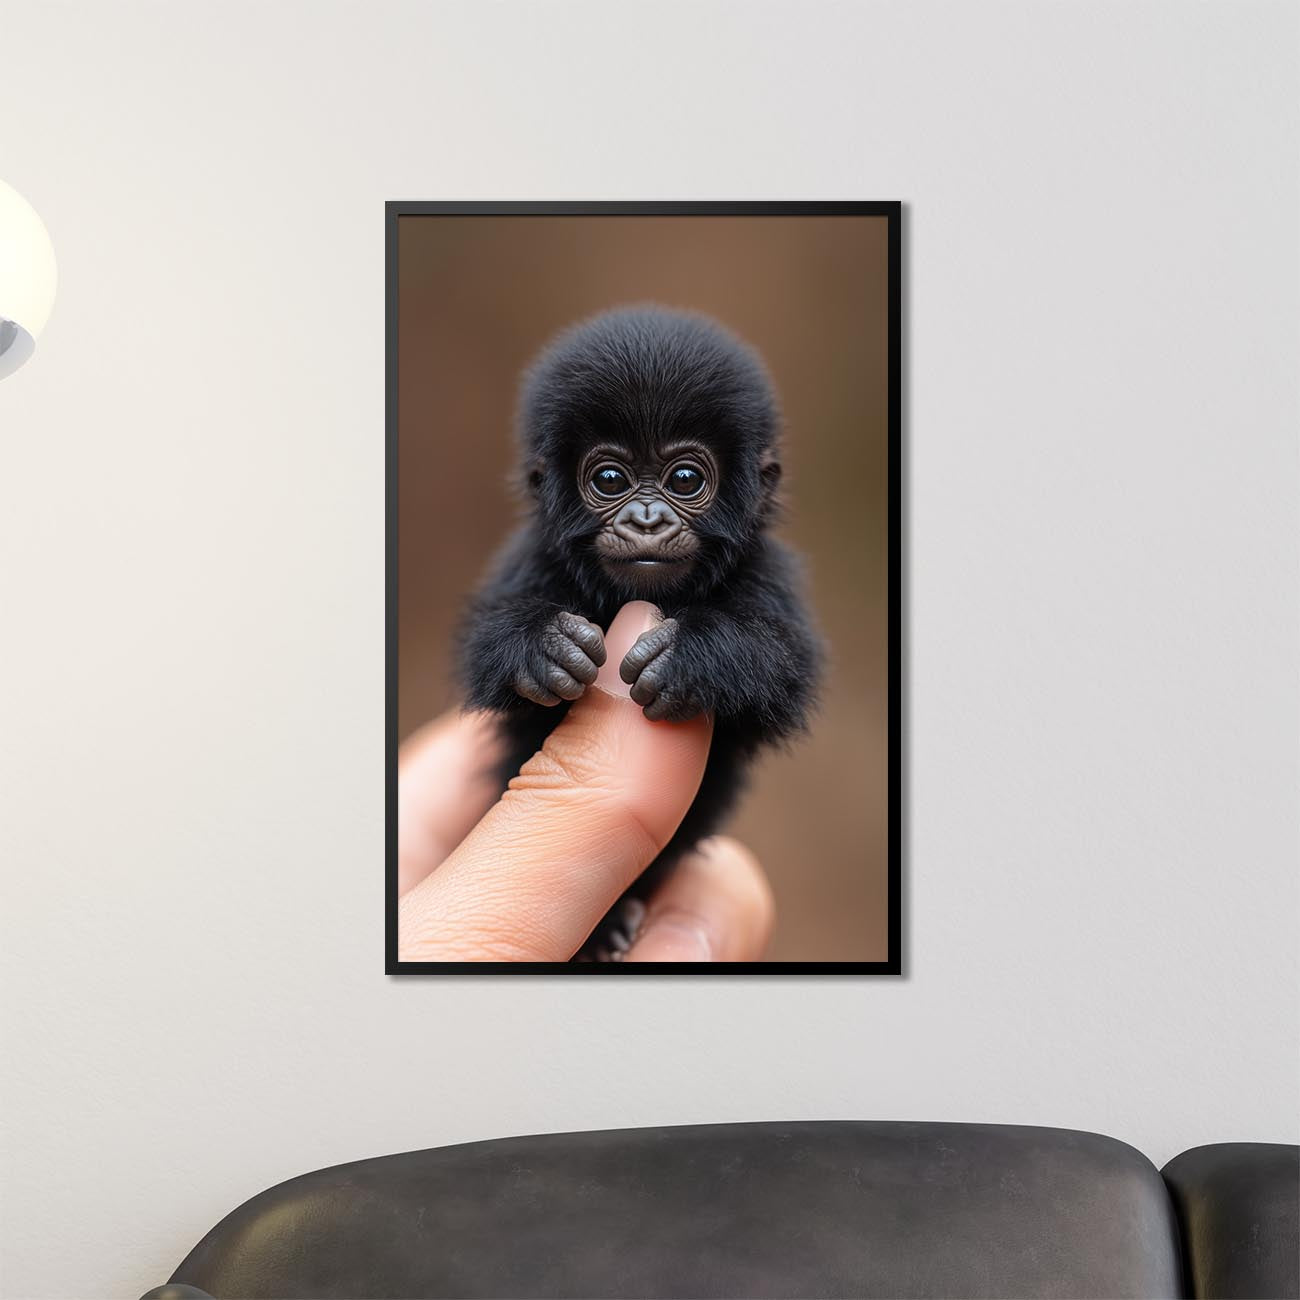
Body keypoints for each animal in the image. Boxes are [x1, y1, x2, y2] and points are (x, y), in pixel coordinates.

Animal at [456, 304, 822, 961]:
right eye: (609, 478)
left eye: (684, 478)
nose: (647, 519)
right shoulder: (530, 560)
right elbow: (483, 651)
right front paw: (541, 645)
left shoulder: (769, 572)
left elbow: (786, 666)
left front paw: (692, 655)